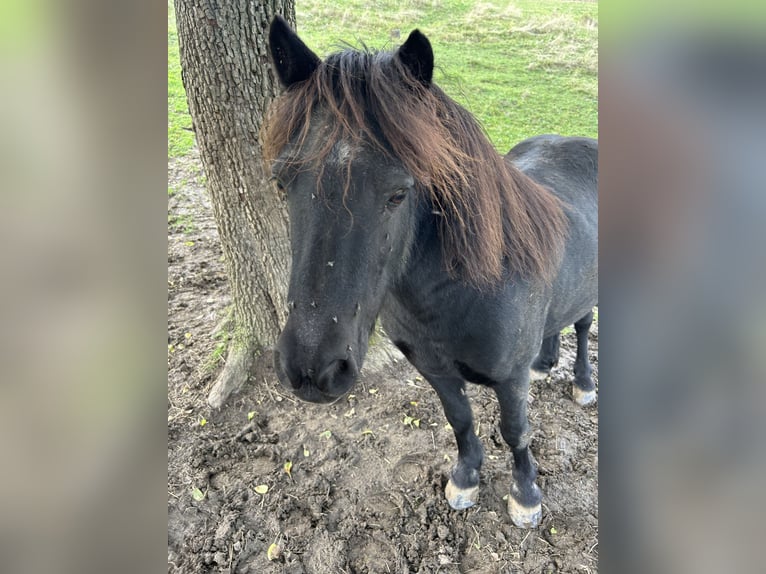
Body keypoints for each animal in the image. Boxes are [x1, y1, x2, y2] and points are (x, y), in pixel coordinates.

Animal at [264, 16, 598, 528]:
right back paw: (545, 361)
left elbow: (516, 431)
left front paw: (525, 495)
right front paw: (465, 479)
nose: (312, 369)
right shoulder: (433, 369)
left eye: (398, 194)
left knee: (583, 324)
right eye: (283, 182)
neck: (459, 293)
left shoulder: (509, 380)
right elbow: (460, 419)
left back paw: (582, 383)